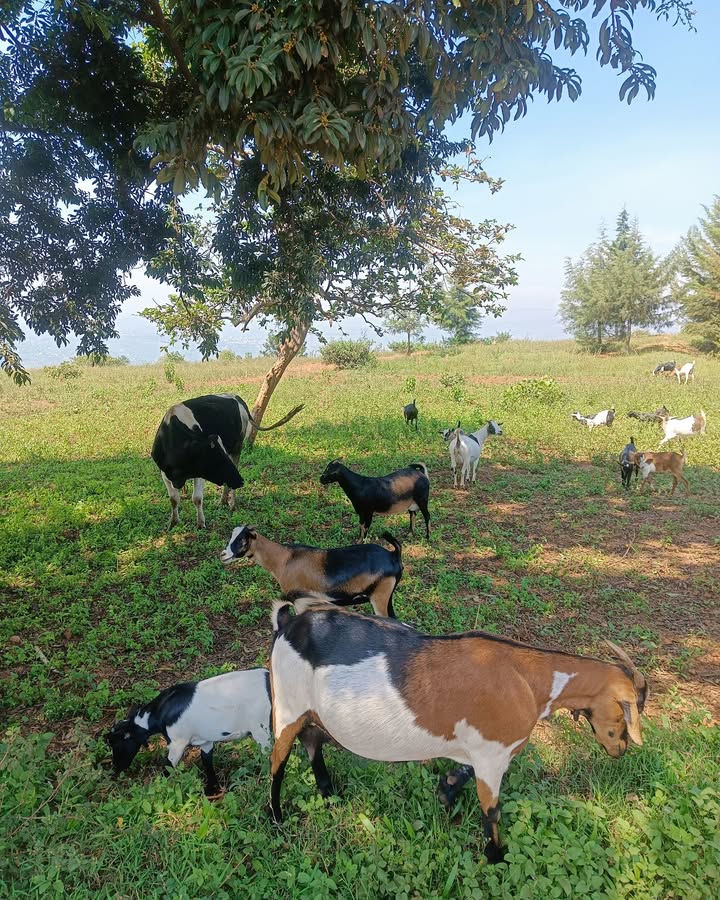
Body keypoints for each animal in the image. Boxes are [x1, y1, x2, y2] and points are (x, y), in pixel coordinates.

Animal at [106, 669, 272, 796]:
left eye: (117, 744)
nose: (116, 767)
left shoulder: (177, 743)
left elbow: (168, 767)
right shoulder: (205, 741)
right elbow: (207, 763)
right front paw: (211, 791)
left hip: (262, 731)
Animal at [152, 393, 303, 528]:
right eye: (215, 460)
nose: (240, 481)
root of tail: (236, 397)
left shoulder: (200, 473)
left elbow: (197, 498)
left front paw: (201, 524)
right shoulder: (164, 472)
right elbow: (173, 499)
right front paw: (173, 522)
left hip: (237, 448)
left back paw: (232, 504)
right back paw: (223, 501)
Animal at [220, 525, 403, 617]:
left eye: (242, 539)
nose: (223, 555)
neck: (284, 559)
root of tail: (393, 555)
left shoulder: (300, 601)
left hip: (379, 597)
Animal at [268, 595, 647, 864]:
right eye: (625, 713)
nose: (621, 750)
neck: (528, 681)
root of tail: (288, 623)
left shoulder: (477, 747)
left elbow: (461, 772)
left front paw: (446, 792)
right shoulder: (493, 754)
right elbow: (492, 809)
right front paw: (495, 856)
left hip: (311, 712)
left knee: (312, 741)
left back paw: (328, 792)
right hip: (286, 706)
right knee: (278, 762)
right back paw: (276, 817)